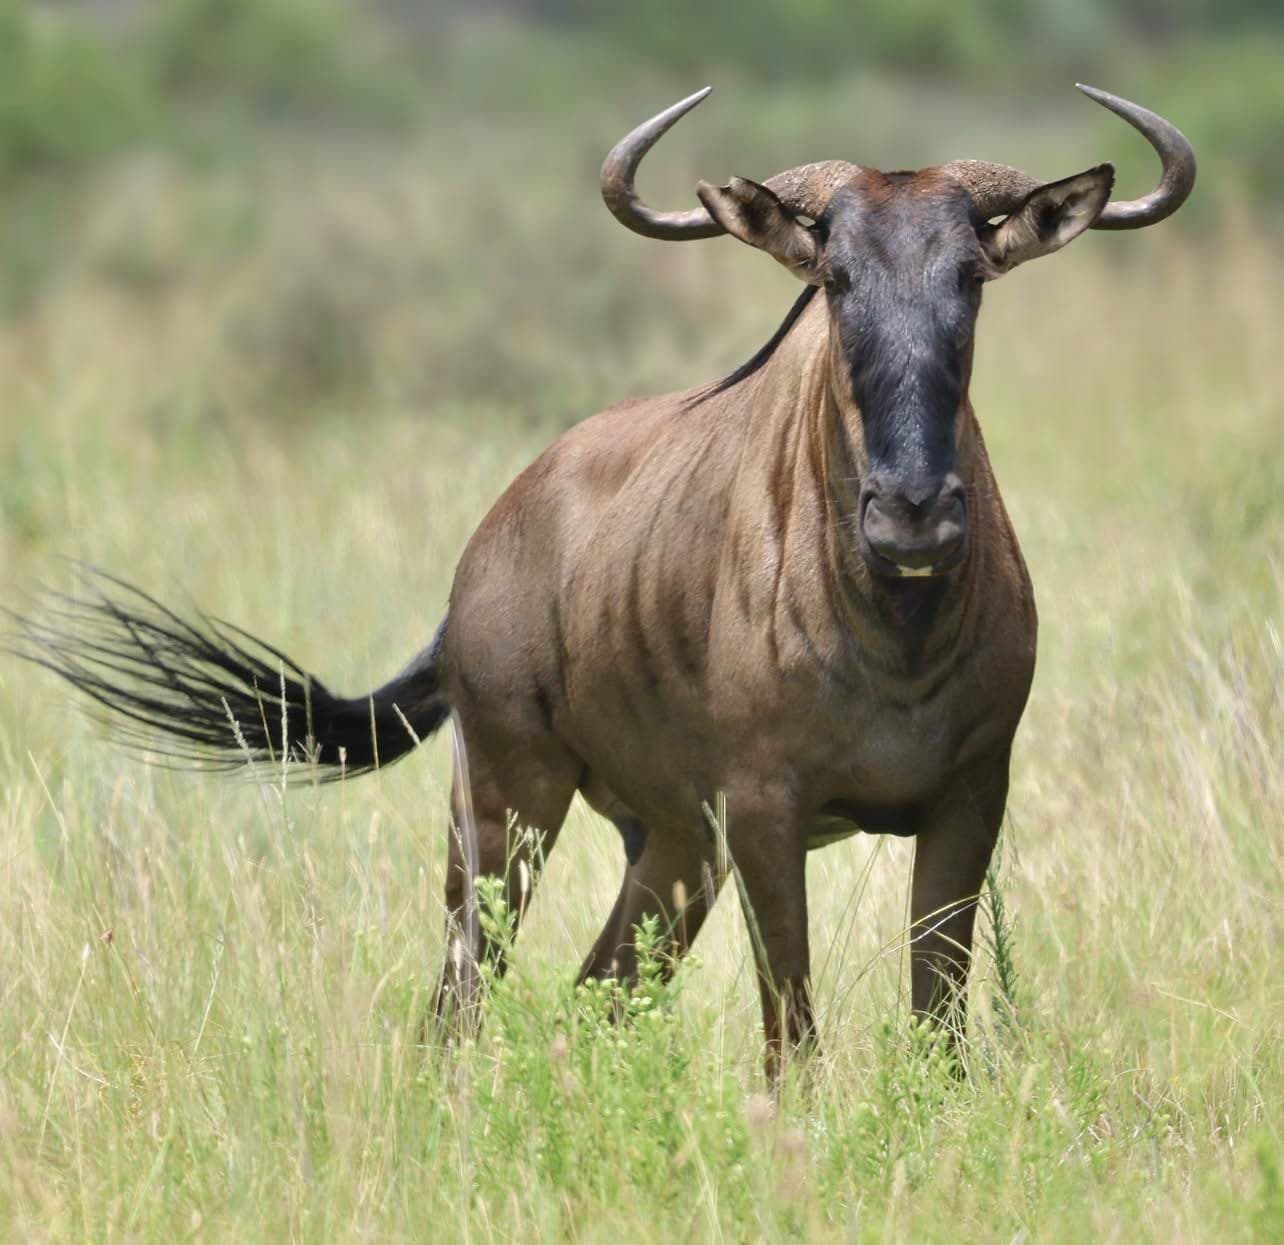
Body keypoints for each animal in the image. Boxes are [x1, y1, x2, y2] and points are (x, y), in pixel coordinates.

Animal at [10, 85, 1194, 1078]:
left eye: (972, 277)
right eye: (834, 276)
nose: (912, 513)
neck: (895, 630)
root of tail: (489, 542)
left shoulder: (966, 800)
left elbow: (937, 1034)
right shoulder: (765, 811)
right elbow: (793, 1035)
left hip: (665, 846)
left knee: (596, 995)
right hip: (506, 807)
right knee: (461, 999)